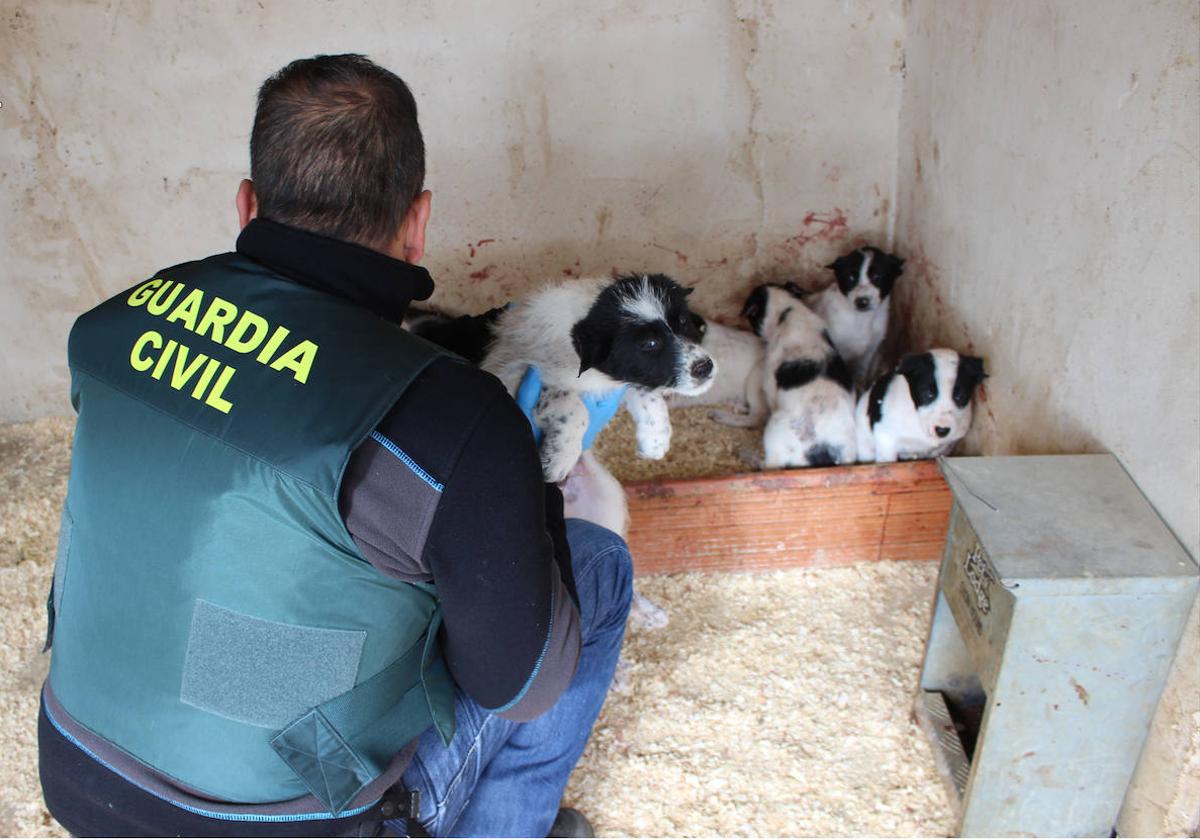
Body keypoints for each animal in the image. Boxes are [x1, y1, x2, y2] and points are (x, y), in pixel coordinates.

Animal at [482, 276, 715, 482]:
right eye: (649, 343)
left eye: (683, 321)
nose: (705, 367)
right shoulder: (518, 375)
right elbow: (573, 406)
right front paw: (560, 458)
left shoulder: (617, 378)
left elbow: (646, 393)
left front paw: (656, 437)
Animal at [724, 280, 859, 465]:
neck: (787, 310)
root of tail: (826, 452)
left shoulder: (770, 383)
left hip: (775, 429)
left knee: (770, 465)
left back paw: (745, 454)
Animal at [811, 244, 902, 386]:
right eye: (850, 278)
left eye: (877, 276)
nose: (862, 302)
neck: (862, 319)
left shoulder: (870, 350)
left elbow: (861, 374)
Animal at [859, 350, 988, 465]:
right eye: (928, 393)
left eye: (959, 396)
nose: (942, 430)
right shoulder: (885, 438)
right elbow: (887, 462)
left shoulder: (944, 447)